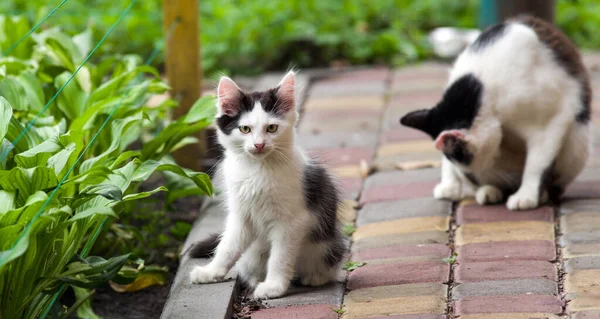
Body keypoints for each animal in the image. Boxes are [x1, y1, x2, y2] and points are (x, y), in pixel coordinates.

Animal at [188, 72, 346, 300]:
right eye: (245, 129)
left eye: (272, 128)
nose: (259, 144)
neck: (257, 169)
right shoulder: (241, 215)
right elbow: (227, 247)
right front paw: (211, 272)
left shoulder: (292, 221)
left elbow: (280, 256)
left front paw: (274, 287)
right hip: (251, 256)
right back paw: (254, 280)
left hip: (327, 246)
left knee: (328, 266)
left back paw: (313, 277)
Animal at [398, 15, 592, 211]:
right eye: (469, 176)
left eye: (467, 167)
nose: (472, 180)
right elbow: (448, 164)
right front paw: (462, 185)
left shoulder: (549, 120)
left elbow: (537, 164)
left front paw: (526, 195)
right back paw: (483, 190)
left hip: (576, 143)